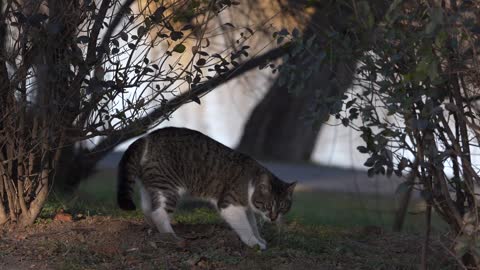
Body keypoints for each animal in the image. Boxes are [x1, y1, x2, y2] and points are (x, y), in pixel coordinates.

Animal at [116, 126, 296, 249]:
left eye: (282, 207)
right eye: (267, 205)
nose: (273, 218)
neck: (251, 180)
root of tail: (147, 137)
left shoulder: (246, 208)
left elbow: (252, 225)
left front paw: (259, 238)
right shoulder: (230, 204)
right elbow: (245, 226)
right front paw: (254, 243)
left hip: (151, 186)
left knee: (148, 208)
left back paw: (155, 229)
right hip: (169, 187)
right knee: (159, 213)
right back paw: (171, 236)